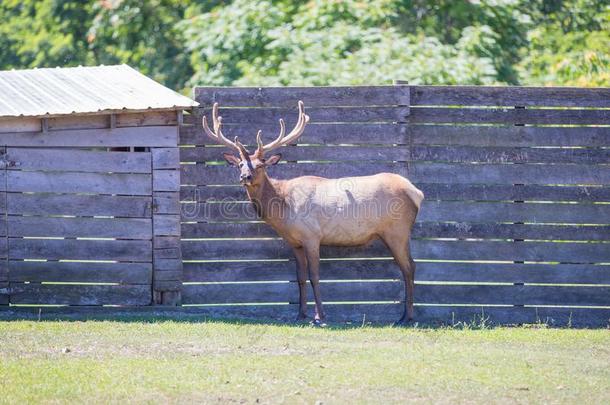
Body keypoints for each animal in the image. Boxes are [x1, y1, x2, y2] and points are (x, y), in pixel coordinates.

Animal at [202, 102, 420, 326]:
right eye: (240, 164)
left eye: (261, 165)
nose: (245, 177)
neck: (283, 210)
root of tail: (416, 192)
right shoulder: (294, 242)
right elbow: (300, 277)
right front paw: (300, 314)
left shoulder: (312, 236)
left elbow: (314, 276)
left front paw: (320, 316)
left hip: (397, 231)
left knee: (409, 267)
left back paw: (407, 316)